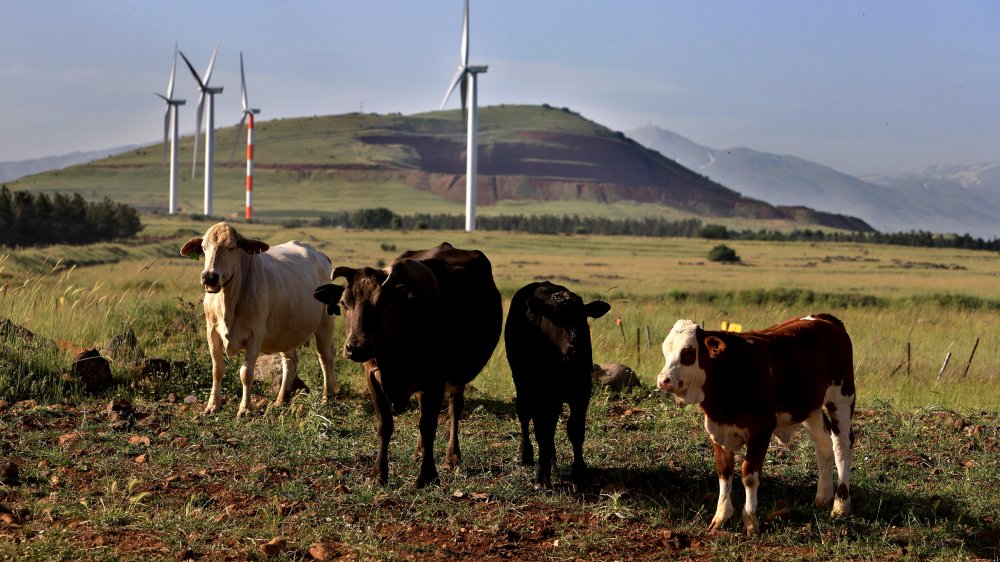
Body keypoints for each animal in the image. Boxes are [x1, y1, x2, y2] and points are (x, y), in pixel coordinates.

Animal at [179, 223, 336, 416]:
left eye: (231, 247)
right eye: (204, 248)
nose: (209, 276)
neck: (228, 300)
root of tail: (321, 256)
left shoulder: (255, 335)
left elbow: (246, 373)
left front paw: (245, 408)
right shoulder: (212, 332)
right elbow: (217, 370)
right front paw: (212, 405)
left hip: (325, 324)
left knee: (325, 357)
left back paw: (327, 398)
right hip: (286, 331)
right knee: (290, 362)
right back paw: (280, 400)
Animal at [312, 241, 500, 486]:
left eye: (381, 302)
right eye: (344, 303)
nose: (355, 347)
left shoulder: (435, 380)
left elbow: (428, 425)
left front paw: (428, 475)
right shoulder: (372, 376)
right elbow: (385, 425)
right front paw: (378, 473)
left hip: (458, 376)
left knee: (453, 410)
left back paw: (452, 457)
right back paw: (419, 451)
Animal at [504, 282, 612, 488]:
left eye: (582, 318)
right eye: (556, 320)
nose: (575, 348)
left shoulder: (582, 391)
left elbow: (575, 429)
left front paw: (579, 471)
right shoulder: (539, 392)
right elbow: (541, 430)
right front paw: (541, 473)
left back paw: (551, 456)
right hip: (521, 382)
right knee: (524, 414)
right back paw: (526, 454)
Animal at [656, 312, 860, 532]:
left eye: (688, 352)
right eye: (666, 350)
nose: (663, 380)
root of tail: (825, 318)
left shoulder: (761, 430)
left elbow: (749, 475)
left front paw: (750, 520)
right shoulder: (716, 430)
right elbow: (724, 471)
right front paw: (721, 516)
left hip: (841, 397)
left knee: (841, 446)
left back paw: (840, 505)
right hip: (810, 407)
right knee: (823, 444)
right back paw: (823, 497)